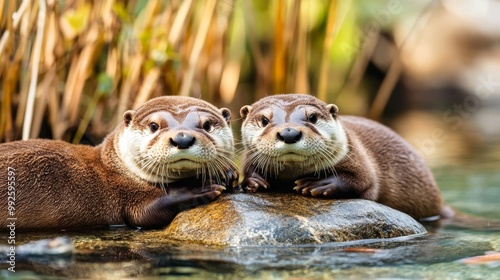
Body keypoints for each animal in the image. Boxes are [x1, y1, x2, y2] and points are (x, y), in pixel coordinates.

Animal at [0, 96, 238, 230]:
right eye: (154, 126)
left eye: (207, 125)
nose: (182, 138)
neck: (118, 168)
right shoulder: (125, 193)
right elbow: (144, 214)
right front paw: (199, 187)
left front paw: (226, 172)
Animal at [240, 94, 452, 221]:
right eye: (264, 120)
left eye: (313, 117)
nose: (289, 132)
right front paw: (254, 181)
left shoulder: (358, 156)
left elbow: (365, 182)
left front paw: (318, 184)